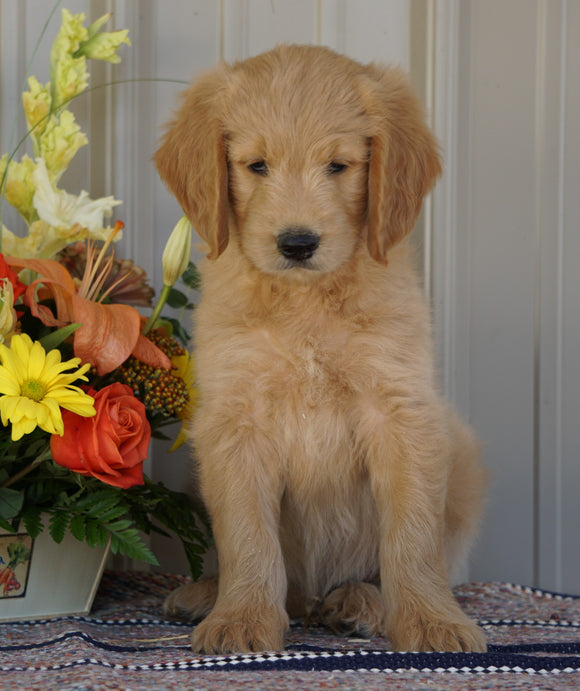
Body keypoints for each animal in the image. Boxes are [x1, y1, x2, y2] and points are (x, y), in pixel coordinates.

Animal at [156, 43, 488, 656]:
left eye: (338, 165)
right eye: (256, 165)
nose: (297, 243)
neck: (305, 302)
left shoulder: (401, 409)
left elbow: (413, 535)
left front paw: (431, 620)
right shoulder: (234, 417)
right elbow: (246, 533)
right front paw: (241, 617)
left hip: (464, 459)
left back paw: (361, 602)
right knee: (284, 583)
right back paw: (209, 593)